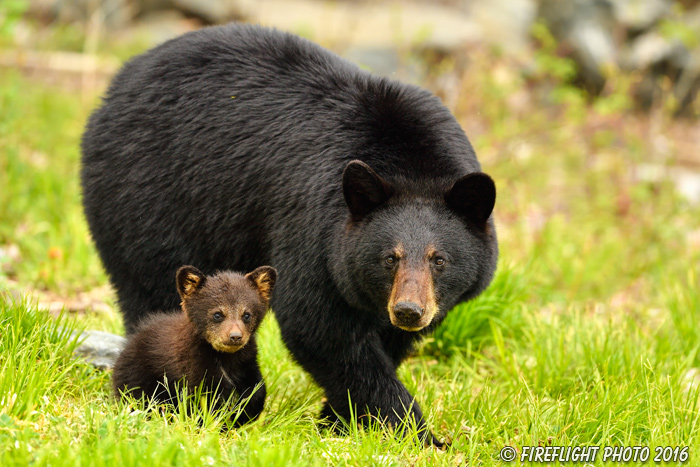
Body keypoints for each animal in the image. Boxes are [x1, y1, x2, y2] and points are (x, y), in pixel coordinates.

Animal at [113, 266, 276, 426]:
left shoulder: (247, 362)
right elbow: (206, 398)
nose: (235, 336)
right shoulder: (195, 365)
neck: (225, 358)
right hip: (138, 376)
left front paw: (244, 414)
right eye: (217, 314)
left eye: (247, 315)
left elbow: (256, 387)